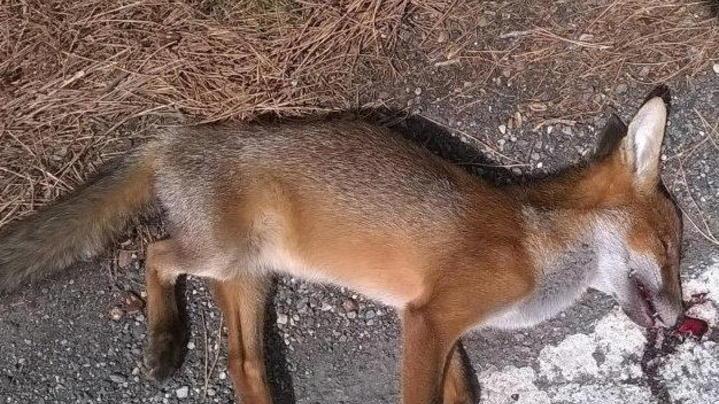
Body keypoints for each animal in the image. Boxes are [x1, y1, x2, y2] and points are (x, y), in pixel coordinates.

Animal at [0, 85, 691, 404]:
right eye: (669, 248)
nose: (684, 312)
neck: (536, 243)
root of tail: (175, 137)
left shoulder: (443, 327)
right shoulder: (431, 319)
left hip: (252, 275)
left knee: (242, 361)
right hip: (220, 255)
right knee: (157, 255)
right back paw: (165, 340)